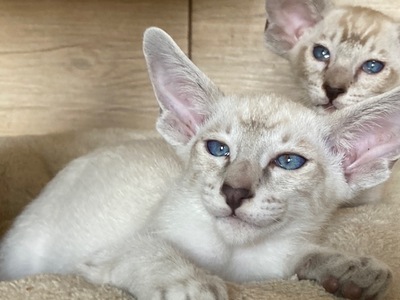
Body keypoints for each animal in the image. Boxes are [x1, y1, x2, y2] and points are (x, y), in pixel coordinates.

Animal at [0, 27, 400, 298]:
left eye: (288, 161)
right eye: (218, 149)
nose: (234, 192)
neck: (231, 259)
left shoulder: (272, 265)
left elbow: (303, 256)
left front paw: (352, 268)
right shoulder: (107, 255)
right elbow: (153, 250)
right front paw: (194, 285)